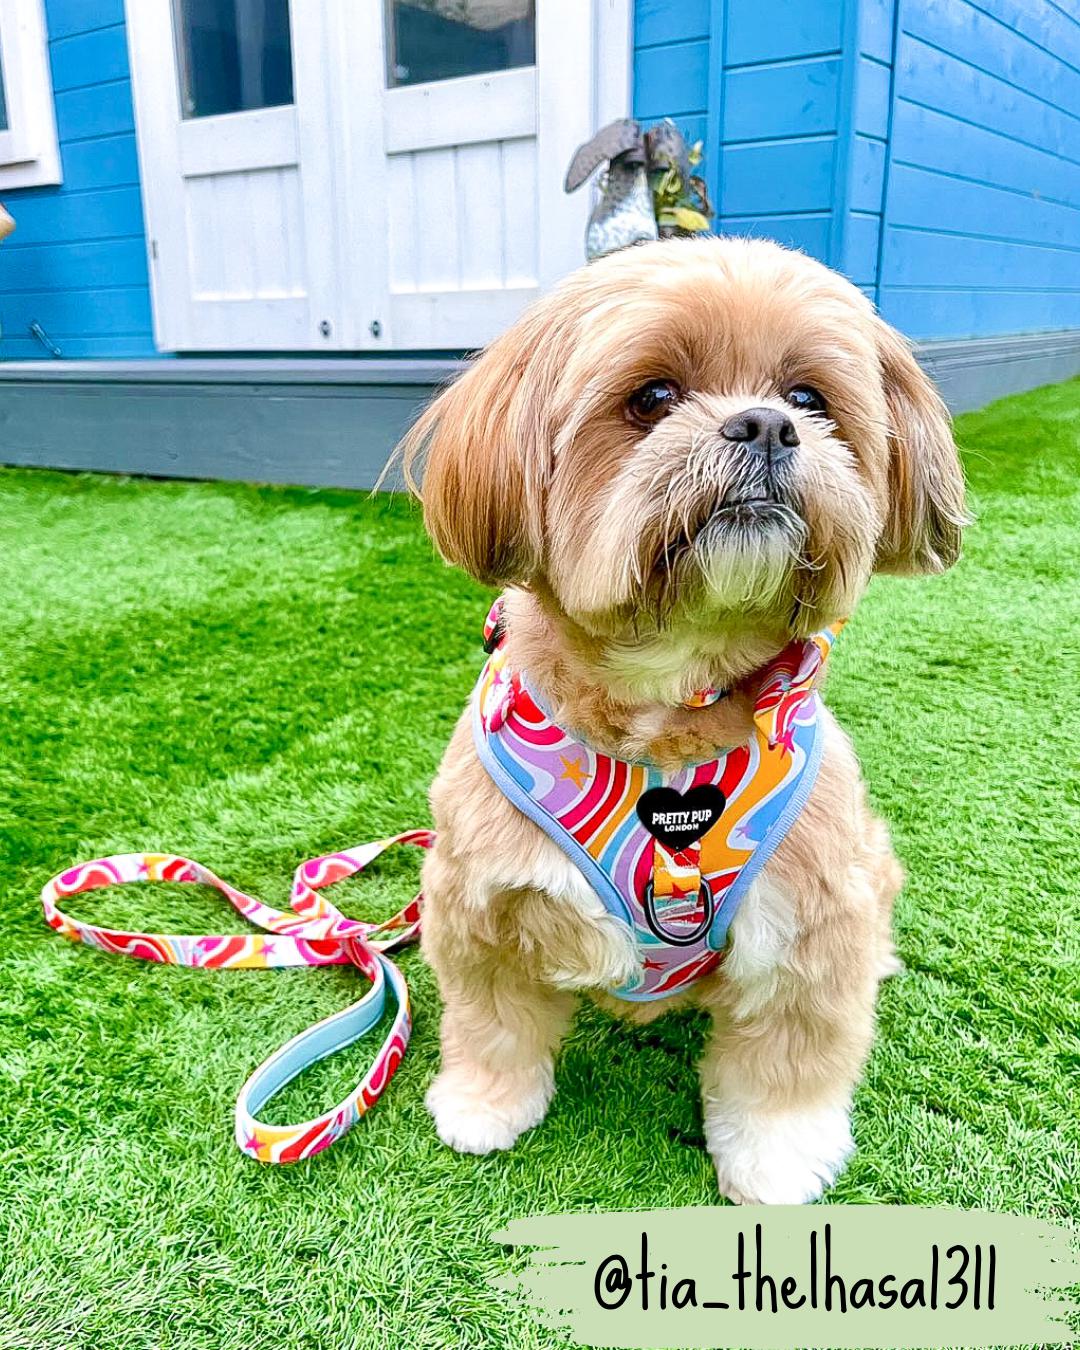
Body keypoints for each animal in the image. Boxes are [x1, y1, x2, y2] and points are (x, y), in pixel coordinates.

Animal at [399, 234, 966, 1204]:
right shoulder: (479, 904)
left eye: (808, 399)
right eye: (654, 397)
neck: (672, 696)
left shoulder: (811, 924)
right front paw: (483, 1105)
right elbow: (491, 1021)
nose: (766, 426)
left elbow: (788, 1061)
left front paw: (777, 1162)